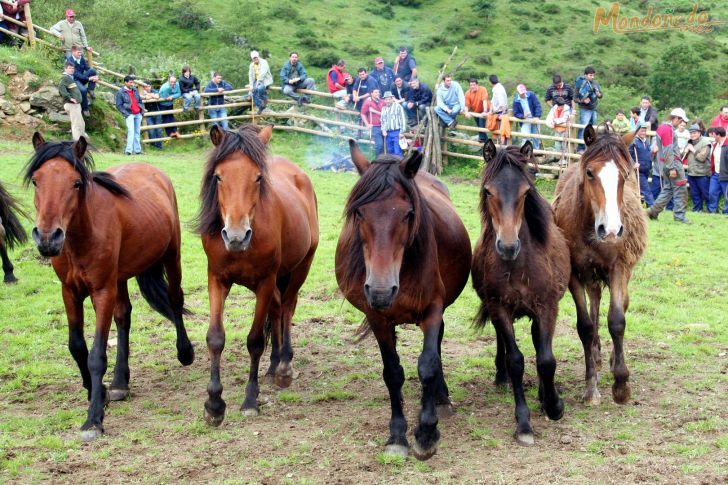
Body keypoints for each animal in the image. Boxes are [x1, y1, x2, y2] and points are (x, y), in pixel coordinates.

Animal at [24, 131, 193, 438]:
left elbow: (95, 355)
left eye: (76, 183)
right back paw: (119, 383)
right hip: (121, 277)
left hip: (171, 256)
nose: (47, 238)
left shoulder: (102, 291)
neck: (81, 238)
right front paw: (98, 392)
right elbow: (77, 347)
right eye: (36, 181)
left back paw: (185, 352)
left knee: (175, 299)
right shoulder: (70, 292)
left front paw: (93, 419)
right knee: (124, 316)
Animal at [195, 125, 318, 424]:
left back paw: (284, 365)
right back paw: (274, 366)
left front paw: (250, 399)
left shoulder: (264, 282)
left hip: (301, 267)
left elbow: (254, 341)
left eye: (258, 178)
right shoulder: (217, 279)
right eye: (218, 176)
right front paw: (214, 404)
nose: (236, 236)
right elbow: (215, 338)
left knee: (287, 307)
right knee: (277, 309)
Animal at [336, 142, 472, 460]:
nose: (381, 290)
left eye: (409, 213)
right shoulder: (378, 318)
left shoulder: (433, 309)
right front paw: (397, 435)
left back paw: (441, 399)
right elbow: (393, 372)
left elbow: (428, 365)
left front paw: (426, 432)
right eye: (359, 213)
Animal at [472, 141, 568, 446]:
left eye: (526, 192)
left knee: (540, 344)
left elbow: (546, 359)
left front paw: (553, 404)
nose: (507, 246)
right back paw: (501, 376)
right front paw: (523, 424)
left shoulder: (547, 307)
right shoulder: (499, 308)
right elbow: (515, 360)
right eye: (488, 191)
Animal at [556, 125, 644, 404]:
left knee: (620, 305)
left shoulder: (618, 268)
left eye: (624, 175)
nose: (612, 230)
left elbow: (617, 320)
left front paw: (621, 383)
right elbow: (584, 325)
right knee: (594, 304)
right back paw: (595, 352)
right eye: (590, 172)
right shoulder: (574, 273)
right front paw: (591, 387)